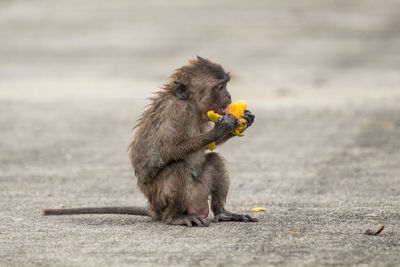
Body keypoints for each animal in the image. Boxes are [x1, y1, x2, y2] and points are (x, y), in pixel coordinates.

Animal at [43, 57, 256, 228]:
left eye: (226, 85)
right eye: (220, 87)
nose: (229, 96)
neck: (191, 104)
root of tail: (153, 208)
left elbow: (211, 148)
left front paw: (244, 119)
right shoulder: (178, 111)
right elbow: (171, 150)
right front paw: (222, 127)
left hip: (197, 193)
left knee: (214, 160)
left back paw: (223, 213)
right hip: (160, 199)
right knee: (177, 168)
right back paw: (175, 217)